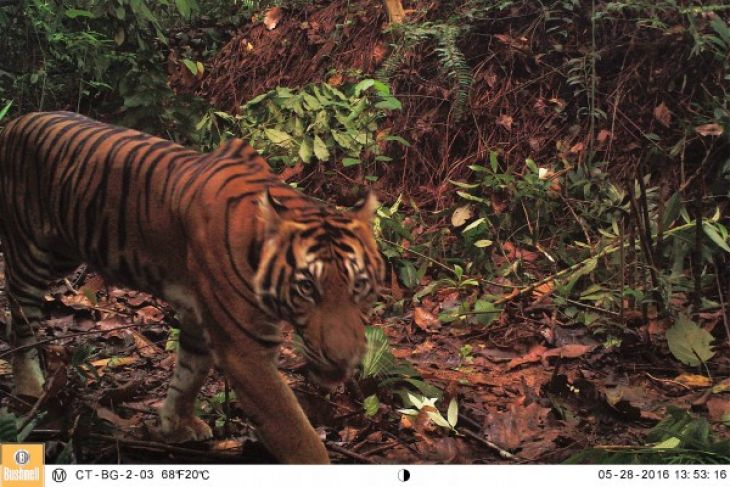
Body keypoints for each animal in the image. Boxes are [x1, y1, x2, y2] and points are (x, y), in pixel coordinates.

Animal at [0, 111, 384, 466]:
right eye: (306, 288)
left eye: (359, 286)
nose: (344, 360)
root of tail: (17, 121)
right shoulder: (246, 350)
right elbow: (296, 432)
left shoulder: (200, 315)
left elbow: (189, 373)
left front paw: (174, 425)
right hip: (33, 255)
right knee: (21, 319)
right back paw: (30, 389)